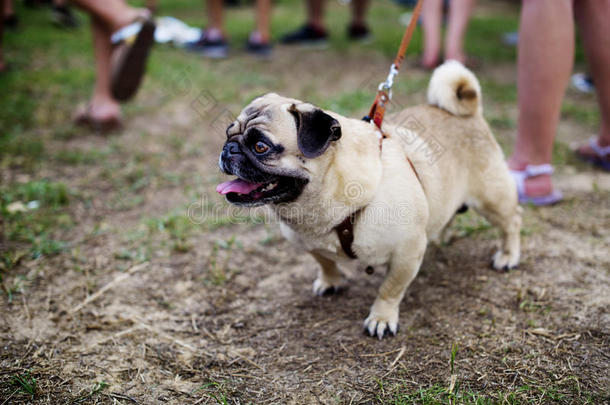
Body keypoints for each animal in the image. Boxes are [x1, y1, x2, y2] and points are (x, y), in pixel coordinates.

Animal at [214, 60, 516, 338]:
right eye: (228, 133)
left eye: (260, 146)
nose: (228, 149)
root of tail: (470, 113)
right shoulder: (308, 242)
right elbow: (324, 262)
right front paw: (330, 281)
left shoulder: (407, 252)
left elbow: (390, 289)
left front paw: (381, 318)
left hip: (492, 198)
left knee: (511, 223)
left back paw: (508, 255)